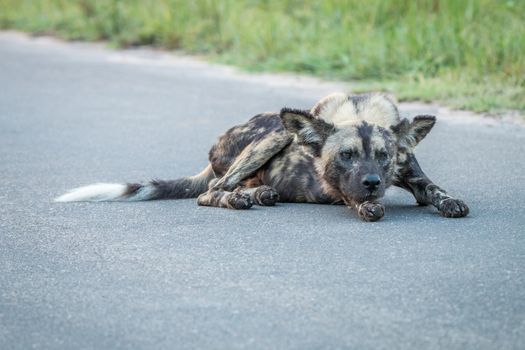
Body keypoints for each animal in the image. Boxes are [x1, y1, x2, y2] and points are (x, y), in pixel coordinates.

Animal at [56, 91, 466, 220]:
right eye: (346, 156)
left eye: (384, 156)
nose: (372, 183)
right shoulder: (341, 189)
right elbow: (357, 201)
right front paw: (369, 206)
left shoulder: (414, 177)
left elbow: (435, 191)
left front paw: (450, 202)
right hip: (274, 135)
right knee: (213, 191)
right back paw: (240, 198)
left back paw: (258, 194)